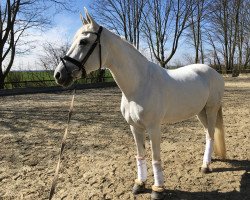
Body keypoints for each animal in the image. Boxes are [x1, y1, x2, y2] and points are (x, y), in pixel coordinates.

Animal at [53, 9, 226, 200]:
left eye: (83, 42)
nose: (59, 75)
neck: (139, 85)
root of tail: (214, 72)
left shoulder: (153, 127)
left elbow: (155, 158)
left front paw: (157, 189)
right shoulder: (135, 127)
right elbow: (140, 155)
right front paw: (140, 184)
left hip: (211, 109)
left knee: (211, 134)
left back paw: (205, 166)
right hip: (200, 112)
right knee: (208, 133)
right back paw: (209, 160)